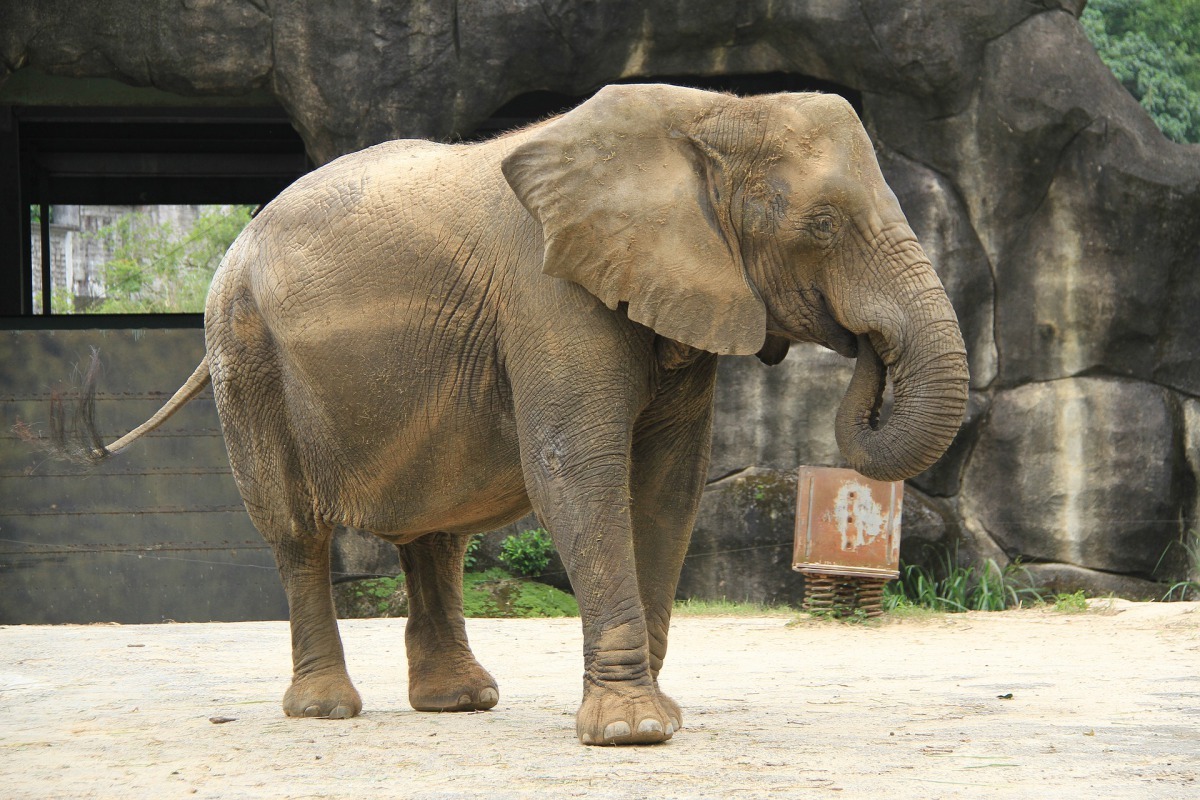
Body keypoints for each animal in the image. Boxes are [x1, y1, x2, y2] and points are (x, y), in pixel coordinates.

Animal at [73, 84, 968, 745]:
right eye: (821, 226)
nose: (866, 347)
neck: (705, 112)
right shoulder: (548, 289)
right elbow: (578, 468)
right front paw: (632, 731)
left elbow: (669, 485)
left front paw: (661, 717)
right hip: (245, 348)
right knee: (296, 529)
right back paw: (327, 710)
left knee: (437, 532)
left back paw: (460, 702)